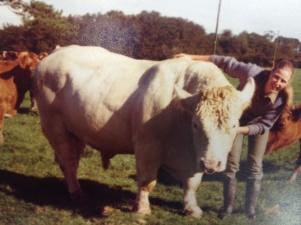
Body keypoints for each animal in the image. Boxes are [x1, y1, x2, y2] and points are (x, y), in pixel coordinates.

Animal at [32, 44, 253, 217]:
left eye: (234, 126)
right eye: (196, 124)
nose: (212, 164)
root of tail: (56, 52)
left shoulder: (195, 156)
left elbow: (192, 184)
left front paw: (192, 209)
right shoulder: (148, 147)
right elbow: (147, 181)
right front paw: (142, 208)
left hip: (76, 132)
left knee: (71, 160)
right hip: (55, 127)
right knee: (68, 161)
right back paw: (77, 193)